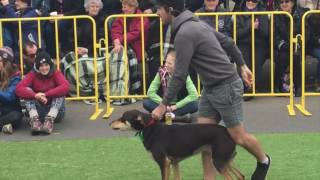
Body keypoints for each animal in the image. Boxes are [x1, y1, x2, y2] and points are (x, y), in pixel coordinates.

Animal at [109, 109, 244, 180]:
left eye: (123, 118)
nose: (110, 123)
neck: (151, 130)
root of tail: (228, 133)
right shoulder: (174, 163)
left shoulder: (164, 162)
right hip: (226, 160)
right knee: (241, 176)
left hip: (219, 161)